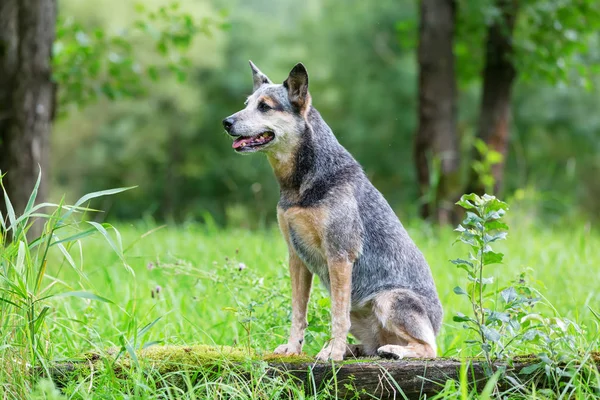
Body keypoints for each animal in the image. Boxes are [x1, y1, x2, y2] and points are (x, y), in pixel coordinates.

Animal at [223, 61, 442, 360]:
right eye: (247, 103)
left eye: (265, 106)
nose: (226, 122)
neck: (301, 184)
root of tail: (437, 323)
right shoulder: (296, 257)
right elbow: (298, 312)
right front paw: (293, 348)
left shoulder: (339, 255)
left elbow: (337, 315)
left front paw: (334, 354)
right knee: (371, 345)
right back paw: (354, 348)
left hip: (388, 299)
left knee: (429, 347)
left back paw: (388, 350)